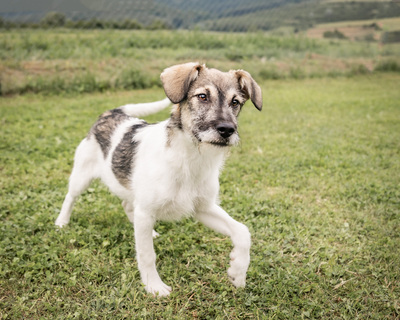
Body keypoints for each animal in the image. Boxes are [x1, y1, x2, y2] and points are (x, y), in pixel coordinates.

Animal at [55, 62, 262, 298]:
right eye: (202, 96)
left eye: (235, 102)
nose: (227, 129)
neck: (190, 159)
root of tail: (111, 113)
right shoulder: (146, 211)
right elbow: (147, 255)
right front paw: (153, 286)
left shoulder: (203, 208)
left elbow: (242, 231)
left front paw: (238, 271)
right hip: (81, 176)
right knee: (70, 197)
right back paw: (61, 222)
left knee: (128, 205)